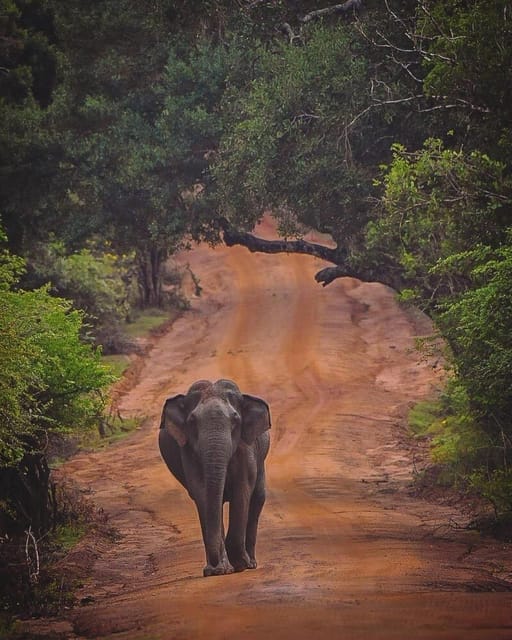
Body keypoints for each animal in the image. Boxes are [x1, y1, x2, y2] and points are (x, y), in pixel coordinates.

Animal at [159, 378, 272, 576]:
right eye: (192, 421)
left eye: (235, 420)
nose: (214, 567)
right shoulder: (187, 450)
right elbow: (201, 491)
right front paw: (218, 570)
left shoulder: (246, 447)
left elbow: (242, 489)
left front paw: (240, 564)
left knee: (258, 497)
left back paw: (251, 563)